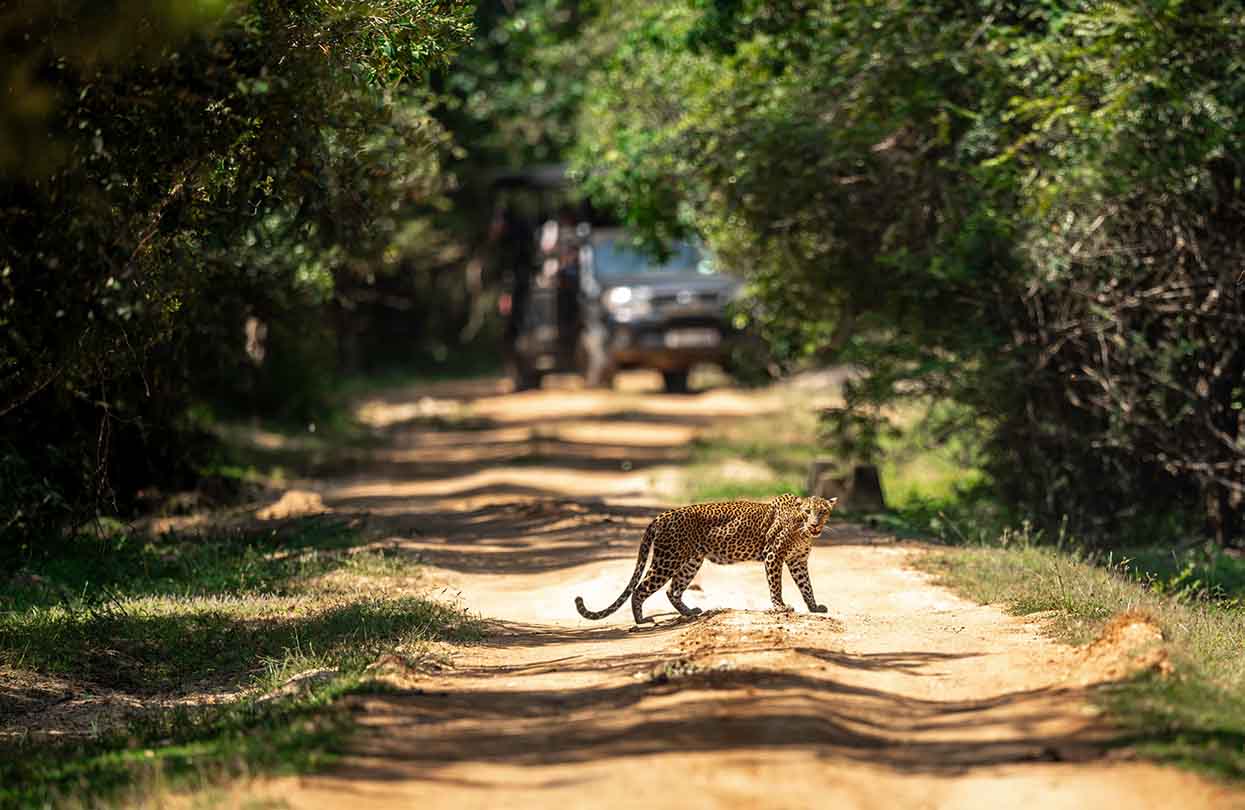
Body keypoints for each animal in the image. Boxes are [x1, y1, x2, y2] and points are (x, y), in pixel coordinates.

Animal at [572, 495, 836, 622]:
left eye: (822, 512)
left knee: (672, 590)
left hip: (691, 561)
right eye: (807, 512)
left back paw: (689, 612)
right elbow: (776, 585)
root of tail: (660, 516)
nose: (815, 524)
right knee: (641, 588)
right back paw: (642, 620)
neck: (803, 531)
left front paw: (814, 607)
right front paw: (780, 607)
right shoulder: (774, 555)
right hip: (668, 559)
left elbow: (806, 586)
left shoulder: (798, 561)